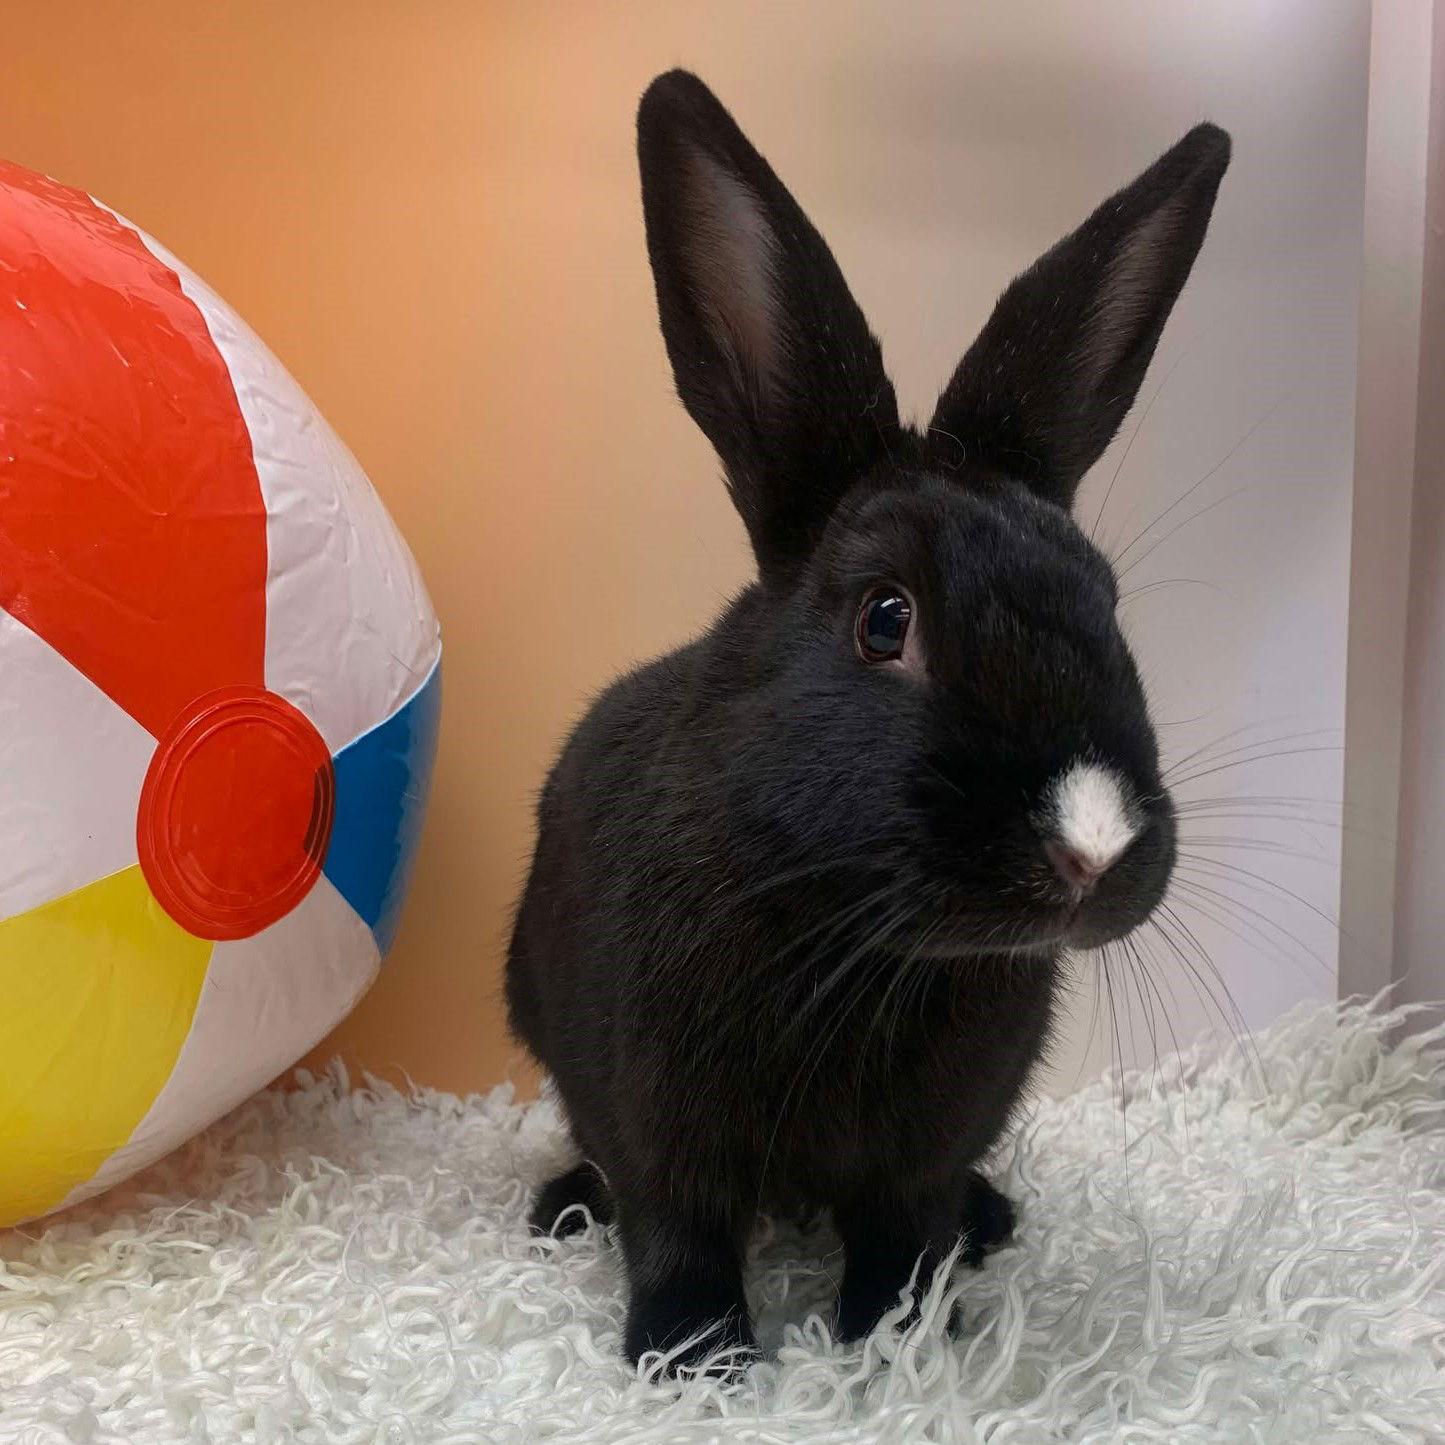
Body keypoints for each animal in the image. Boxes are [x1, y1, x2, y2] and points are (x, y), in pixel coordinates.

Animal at [506, 69, 1230, 1373]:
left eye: (1104, 599)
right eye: (883, 619)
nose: (1090, 844)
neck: (873, 945)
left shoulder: (921, 1154)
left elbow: (903, 1234)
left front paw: (902, 1350)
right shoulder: (659, 1126)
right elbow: (677, 1231)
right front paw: (691, 1360)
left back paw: (993, 1221)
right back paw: (562, 1210)